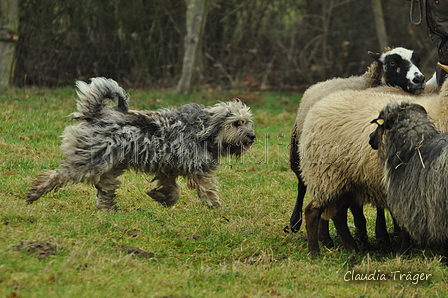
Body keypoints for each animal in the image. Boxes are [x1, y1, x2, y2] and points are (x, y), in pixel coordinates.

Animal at [26, 77, 256, 210]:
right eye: (237, 123)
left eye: (248, 122)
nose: (252, 136)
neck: (203, 129)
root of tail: (95, 114)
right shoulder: (198, 170)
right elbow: (208, 190)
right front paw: (216, 208)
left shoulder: (168, 168)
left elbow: (172, 190)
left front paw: (161, 197)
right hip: (90, 161)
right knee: (58, 175)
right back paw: (35, 193)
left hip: (111, 164)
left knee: (105, 187)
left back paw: (107, 209)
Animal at [300, 81, 442, 254]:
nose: (370, 139)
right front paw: (404, 250)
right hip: (326, 177)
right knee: (312, 211)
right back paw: (315, 251)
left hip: (348, 183)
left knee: (338, 215)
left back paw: (353, 248)